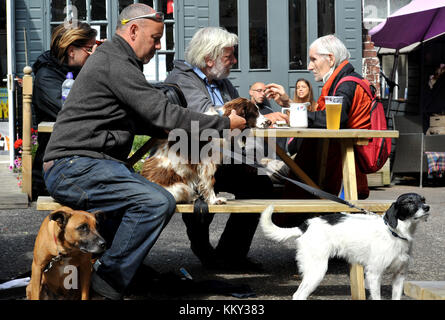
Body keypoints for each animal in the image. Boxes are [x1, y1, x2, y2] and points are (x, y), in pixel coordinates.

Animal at [260, 192, 430, 300]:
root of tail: (305, 226)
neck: (395, 233)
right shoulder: (374, 275)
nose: (427, 207)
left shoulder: (399, 276)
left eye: (423, 199)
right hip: (316, 271)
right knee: (298, 295)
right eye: (409, 202)